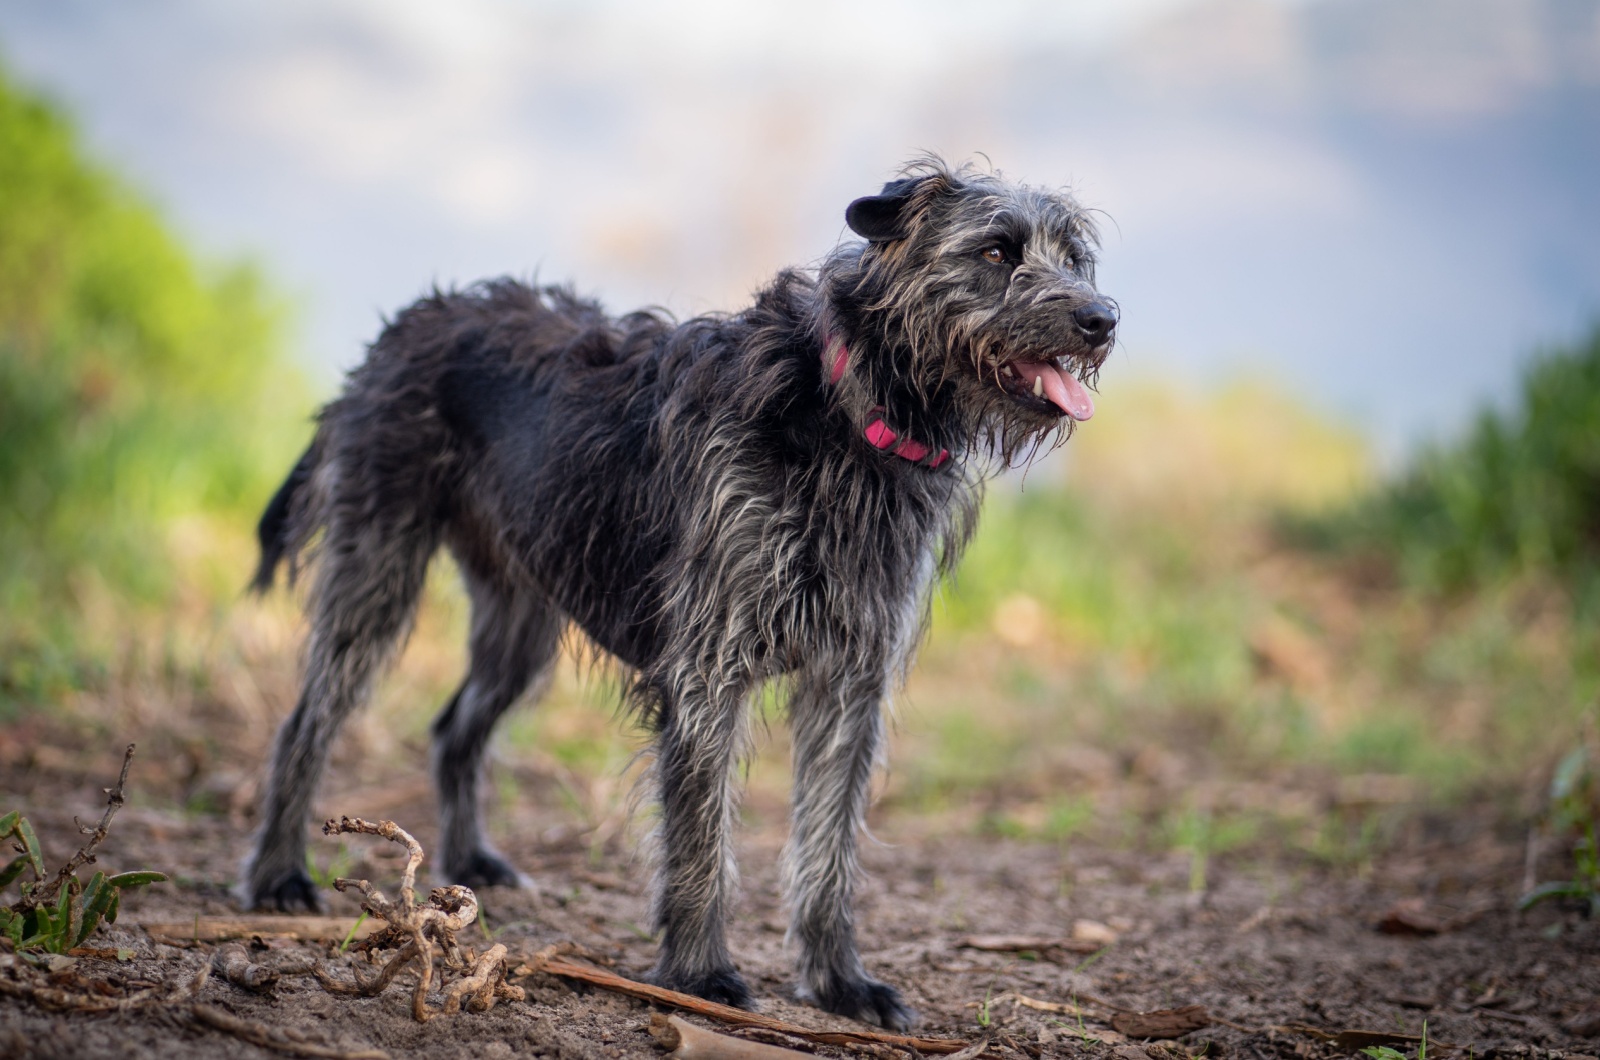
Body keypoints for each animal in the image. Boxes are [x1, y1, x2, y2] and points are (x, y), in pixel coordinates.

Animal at [243, 157, 1120, 1031]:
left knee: (455, 726)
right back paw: (278, 875)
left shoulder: (849, 683)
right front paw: (700, 974)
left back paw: (472, 863)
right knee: (304, 723)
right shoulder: (709, 669)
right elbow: (701, 838)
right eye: (998, 251)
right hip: (376, 574)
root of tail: (412, 319)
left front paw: (840, 982)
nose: (1103, 318)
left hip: (521, 619)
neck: (845, 413)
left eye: (1075, 258)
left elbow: (830, 847)